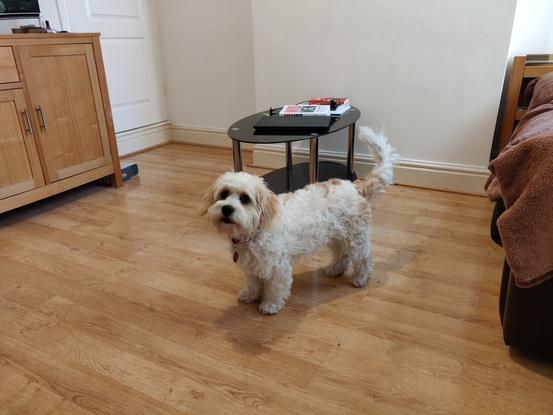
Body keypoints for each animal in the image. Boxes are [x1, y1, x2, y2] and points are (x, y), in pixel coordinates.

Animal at [201, 127, 398, 316]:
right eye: (224, 194)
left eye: (244, 199)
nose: (227, 209)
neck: (254, 233)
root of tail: (356, 187)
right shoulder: (252, 265)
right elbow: (252, 283)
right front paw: (248, 295)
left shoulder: (279, 267)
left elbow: (275, 289)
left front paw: (270, 305)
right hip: (337, 236)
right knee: (343, 254)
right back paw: (335, 269)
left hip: (356, 237)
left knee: (364, 258)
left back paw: (361, 279)